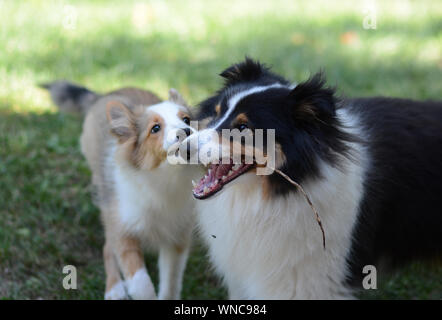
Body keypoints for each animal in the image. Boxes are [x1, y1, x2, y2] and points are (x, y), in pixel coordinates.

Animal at [45, 80, 197, 300]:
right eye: (155, 128)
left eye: (187, 119)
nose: (187, 131)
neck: (165, 178)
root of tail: (106, 94)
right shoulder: (123, 229)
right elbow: (141, 283)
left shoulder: (177, 237)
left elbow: (170, 283)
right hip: (108, 204)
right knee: (107, 247)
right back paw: (114, 289)